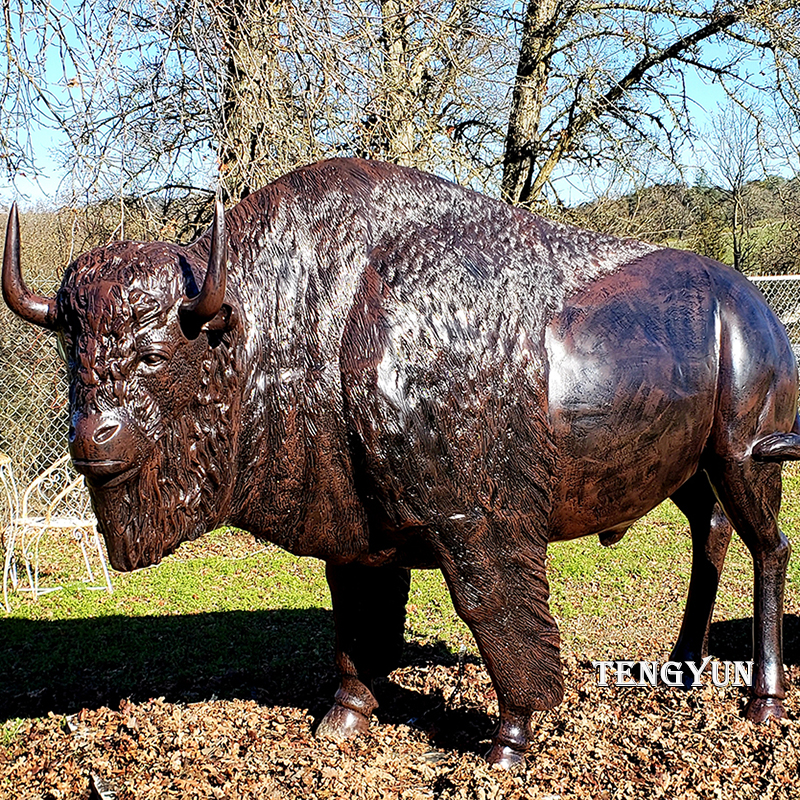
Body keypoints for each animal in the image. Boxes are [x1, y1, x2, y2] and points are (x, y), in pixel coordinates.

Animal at [2, 158, 797, 767]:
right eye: (71, 351)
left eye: (154, 354)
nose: (92, 438)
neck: (292, 320)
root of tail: (756, 309)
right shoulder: (357, 530)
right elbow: (356, 622)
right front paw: (342, 722)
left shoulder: (476, 526)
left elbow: (497, 619)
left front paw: (509, 743)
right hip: (689, 472)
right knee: (710, 536)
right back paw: (681, 672)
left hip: (747, 458)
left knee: (768, 545)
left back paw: (761, 704)